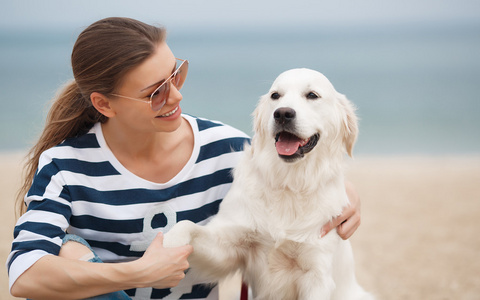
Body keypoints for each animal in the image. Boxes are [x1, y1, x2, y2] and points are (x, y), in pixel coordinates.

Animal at [164, 69, 372, 298]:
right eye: (275, 96)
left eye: (312, 95)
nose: (282, 113)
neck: (289, 183)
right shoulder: (228, 247)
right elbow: (187, 225)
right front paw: (169, 243)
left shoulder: (316, 275)